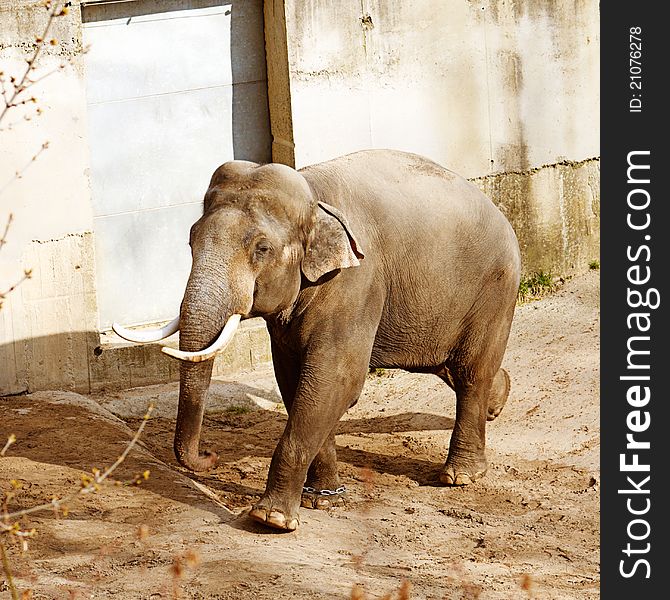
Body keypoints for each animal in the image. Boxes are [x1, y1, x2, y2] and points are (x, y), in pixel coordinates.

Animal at [114, 149, 524, 528]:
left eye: (262, 249)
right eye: (190, 240)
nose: (210, 457)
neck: (313, 196)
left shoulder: (355, 282)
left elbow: (335, 379)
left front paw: (271, 519)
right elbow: (297, 382)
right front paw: (322, 500)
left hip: (495, 288)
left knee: (470, 372)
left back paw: (460, 476)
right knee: (449, 366)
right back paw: (499, 398)